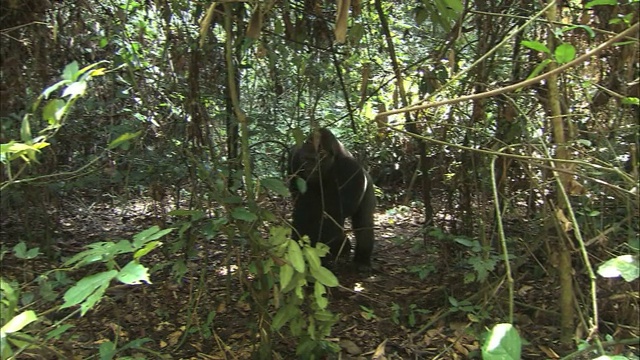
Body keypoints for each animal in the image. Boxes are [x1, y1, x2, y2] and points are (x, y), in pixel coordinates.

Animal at [288, 128, 376, 268]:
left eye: (315, 160)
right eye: (305, 159)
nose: (309, 169)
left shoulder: (351, 169)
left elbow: (336, 212)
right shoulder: (295, 157)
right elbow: (303, 205)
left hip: (368, 185)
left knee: (364, 222)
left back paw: (361, 259)